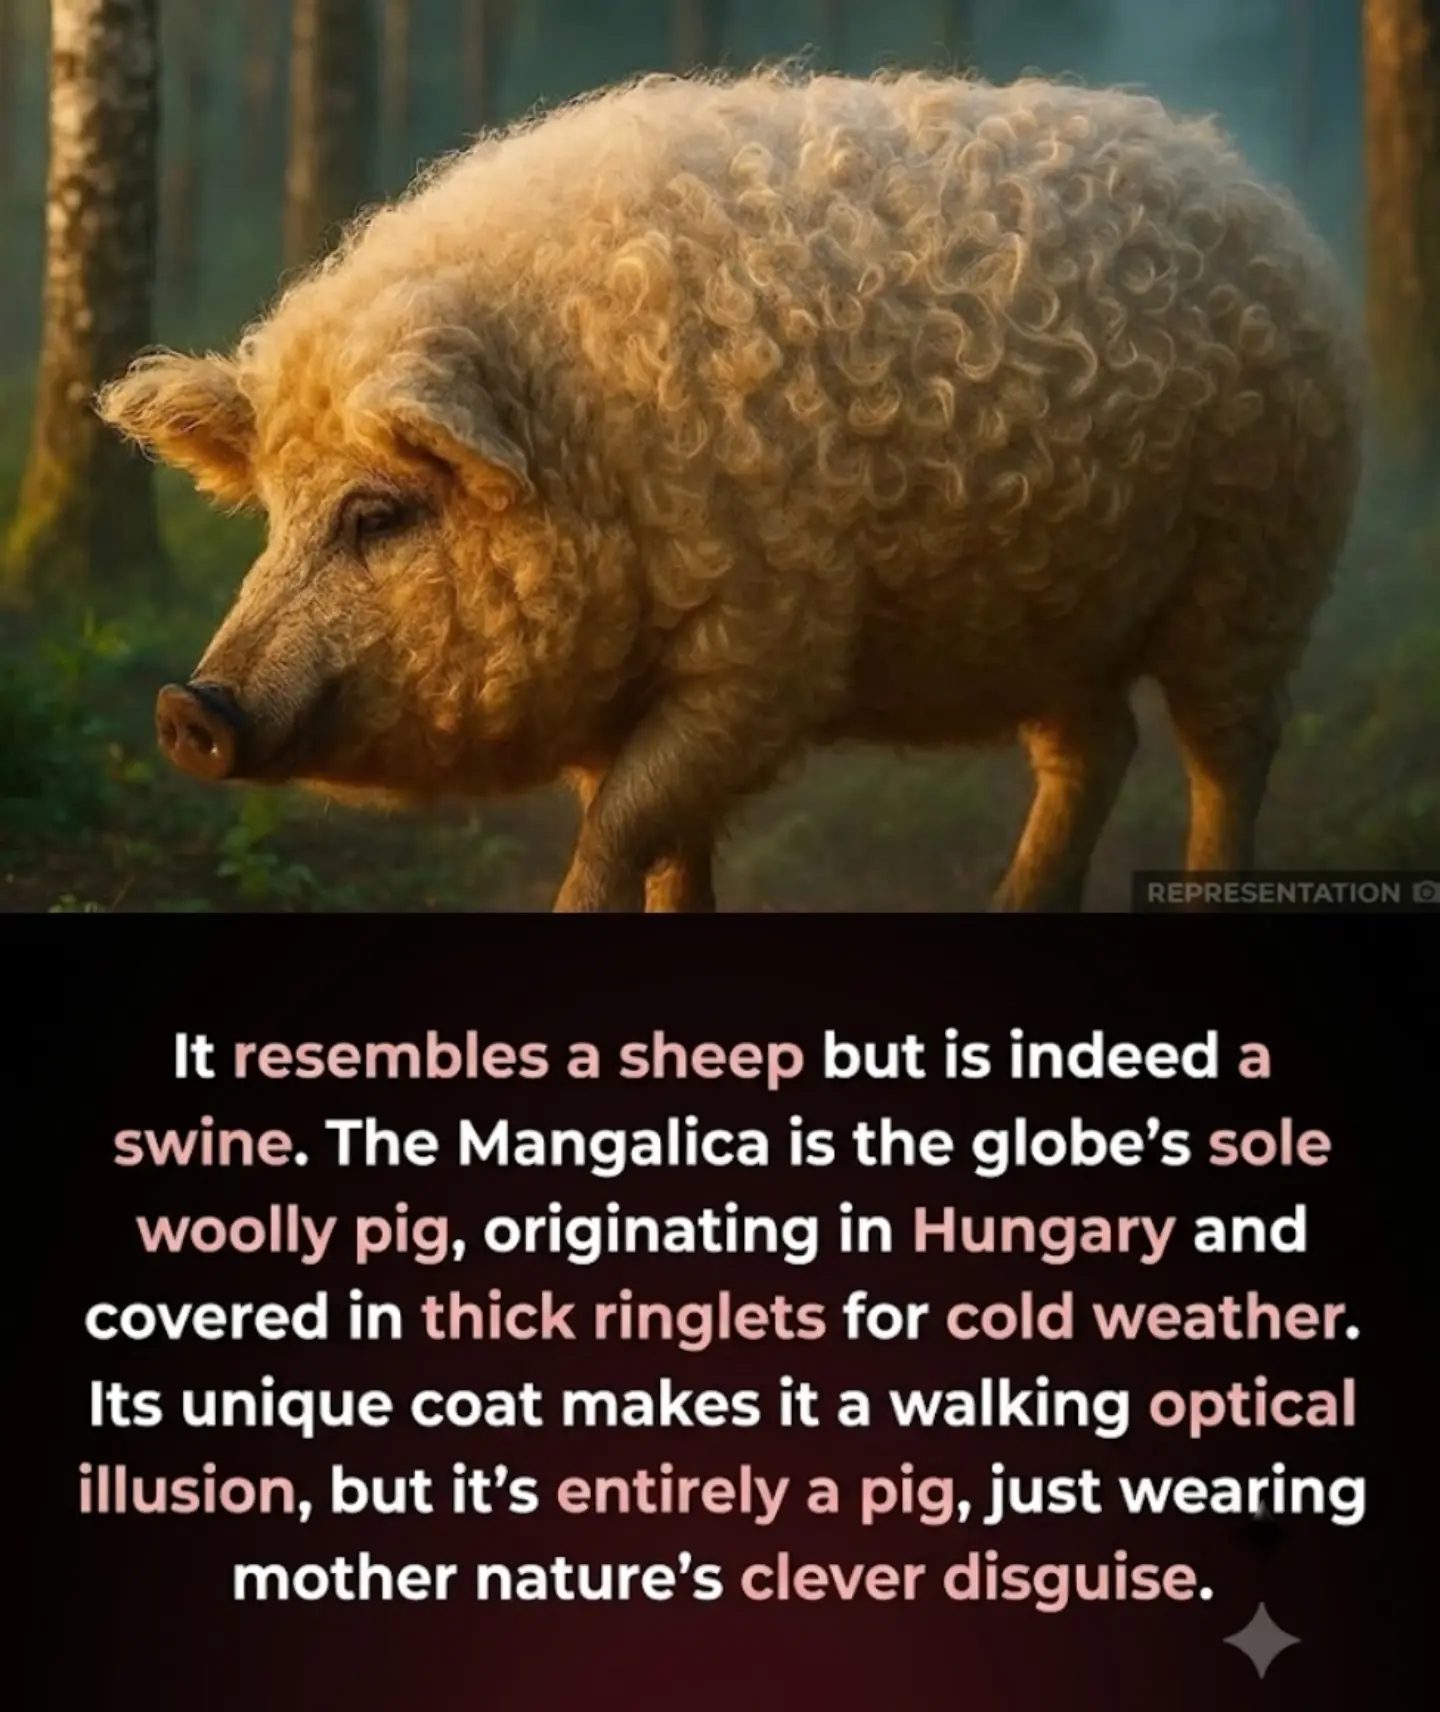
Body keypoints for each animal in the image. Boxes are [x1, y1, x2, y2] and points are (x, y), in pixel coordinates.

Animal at [99, 68, 1363, 911]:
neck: (592, 448)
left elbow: (622, 830)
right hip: (1057, 609)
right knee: (1094, 747)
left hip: (1258, 568)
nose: (187, 709)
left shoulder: (770, 652)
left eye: (377, 512)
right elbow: (662, 836)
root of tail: (1262, 196)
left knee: (1229, 751)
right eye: (271, 515)